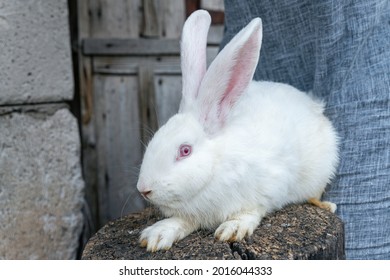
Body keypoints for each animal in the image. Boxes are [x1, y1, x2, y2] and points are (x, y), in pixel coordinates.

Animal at [136, 10, 338, 252]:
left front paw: (232, 229)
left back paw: (324, 204)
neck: (216, 165)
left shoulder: (268, 189)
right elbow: (181, 221)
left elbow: (251, 212)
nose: (143, 189)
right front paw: (157, 235)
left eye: (185, 150)